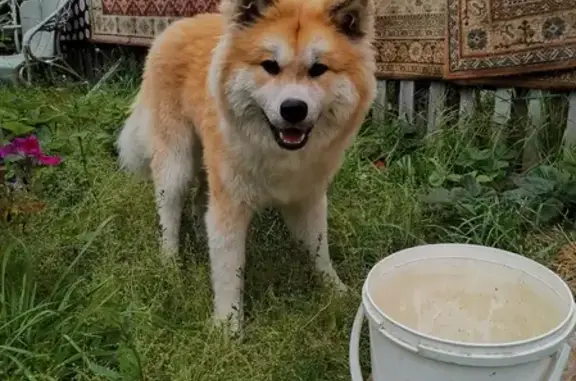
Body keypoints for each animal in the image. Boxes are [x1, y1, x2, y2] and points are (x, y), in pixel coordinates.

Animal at [117, 0, 378, 330]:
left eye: (318, 69)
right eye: (270, 66)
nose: (293, 109)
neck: (277, 153)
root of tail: (179, 25)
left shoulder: (308, 198)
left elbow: (319, 250)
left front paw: (336, 291)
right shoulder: (230, 205)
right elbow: (229, 271)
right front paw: (227, 327)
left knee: (201, 198)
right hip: (176, 164)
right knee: (169, 213)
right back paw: (170, 263)